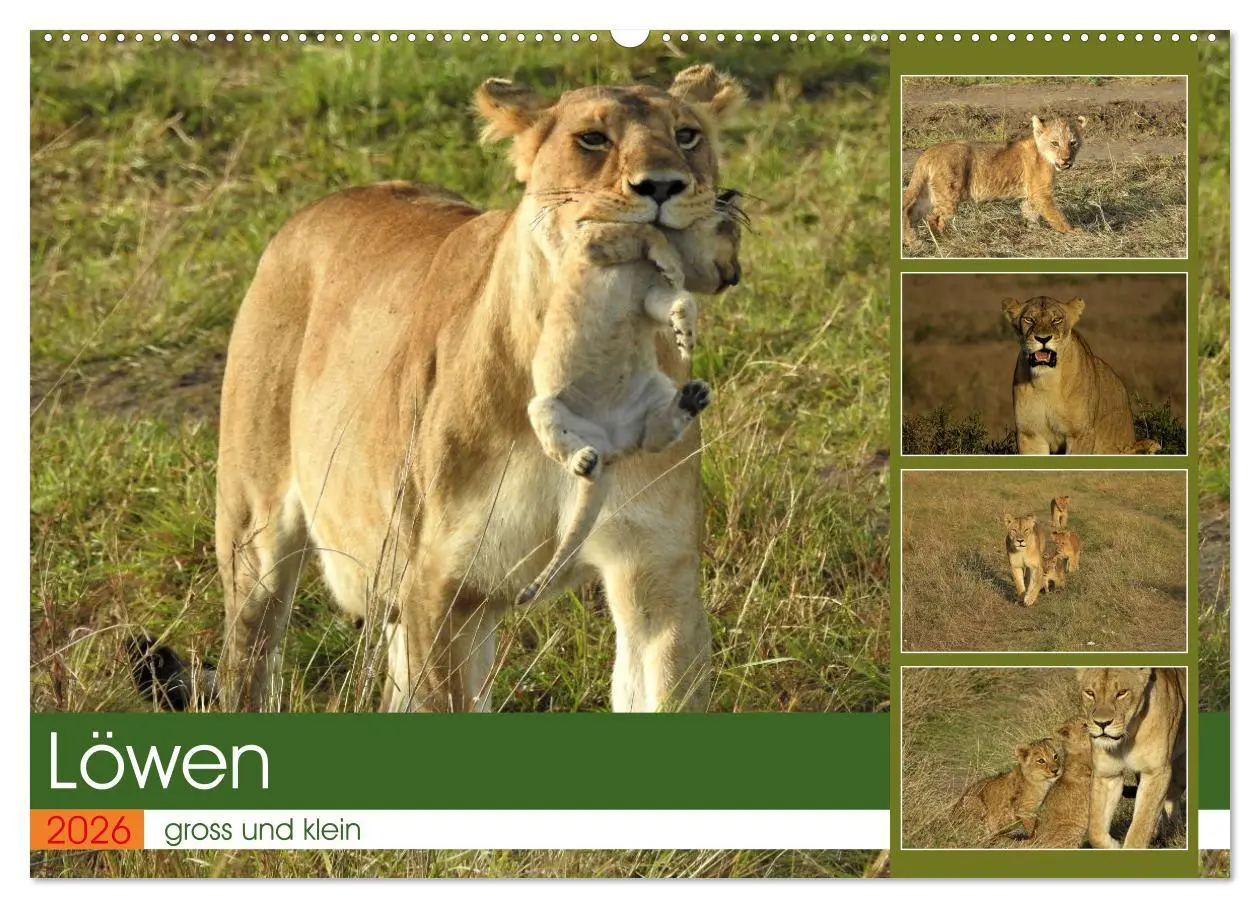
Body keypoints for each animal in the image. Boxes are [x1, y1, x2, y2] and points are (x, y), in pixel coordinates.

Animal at [518, 197, 743, 605]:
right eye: (732, 234)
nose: (737, 275)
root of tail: (611, 448)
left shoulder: (652, 295)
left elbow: (681, 299)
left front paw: (685, 334)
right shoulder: (593, 240)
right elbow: (648, 231)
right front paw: (669, 262)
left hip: (657, 387)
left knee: (652, 438)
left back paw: (692, 398)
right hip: (542, 407)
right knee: (563, 446)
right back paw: (583, 460)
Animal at [902, 114, 1086, 247]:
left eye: (1073, 143)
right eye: (1055, 143)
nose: (1066, 160)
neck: (1046, 156)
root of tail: (929, 152)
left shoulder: (1030, 195)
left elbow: (1030, 213)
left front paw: (1034, 231)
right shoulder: (1041, 193)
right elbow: (1056, 215)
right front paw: (1073, 231)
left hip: (928, 194)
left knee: (910, 212)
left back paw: (914, 243)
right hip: (949, 194)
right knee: (934, 218)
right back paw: (945, 241)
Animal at [1003, 296, 1159, 455]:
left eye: (1057, 320)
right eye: (1029, 319)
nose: (1043, 338)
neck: (1046, 382)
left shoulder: (1081, 433)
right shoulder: (1029, 434)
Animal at [1078, 668, 1187, 848]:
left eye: (1122, 693)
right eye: (1090, 693)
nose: (1102, 724)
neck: (1127, 737)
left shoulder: (1156, 772)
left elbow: (1141, 826)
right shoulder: (1107, 774)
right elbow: (1094, 830)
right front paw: (1114, 846)